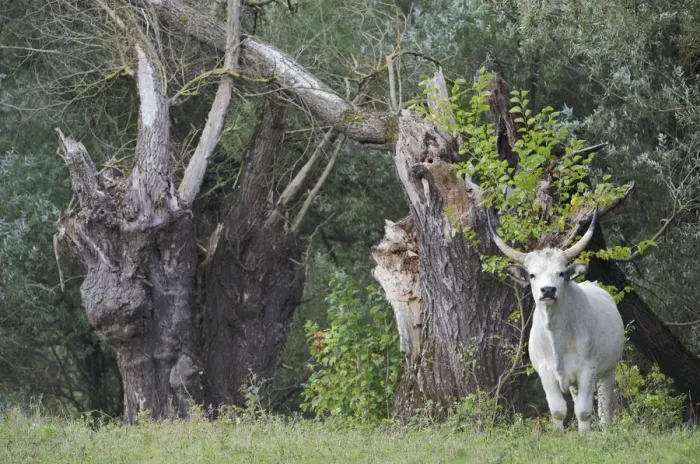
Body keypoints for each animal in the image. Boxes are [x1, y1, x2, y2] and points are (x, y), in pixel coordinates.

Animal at [487, 208, 624, 431]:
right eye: (532, 275)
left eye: (561, 273)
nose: (548, 290)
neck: (557, 335)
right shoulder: (545, 372)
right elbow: (558, 410)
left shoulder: (588, 369)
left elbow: (584, 411)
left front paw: (584, 436)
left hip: (608, 371)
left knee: (605, 410)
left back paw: (605, 432)